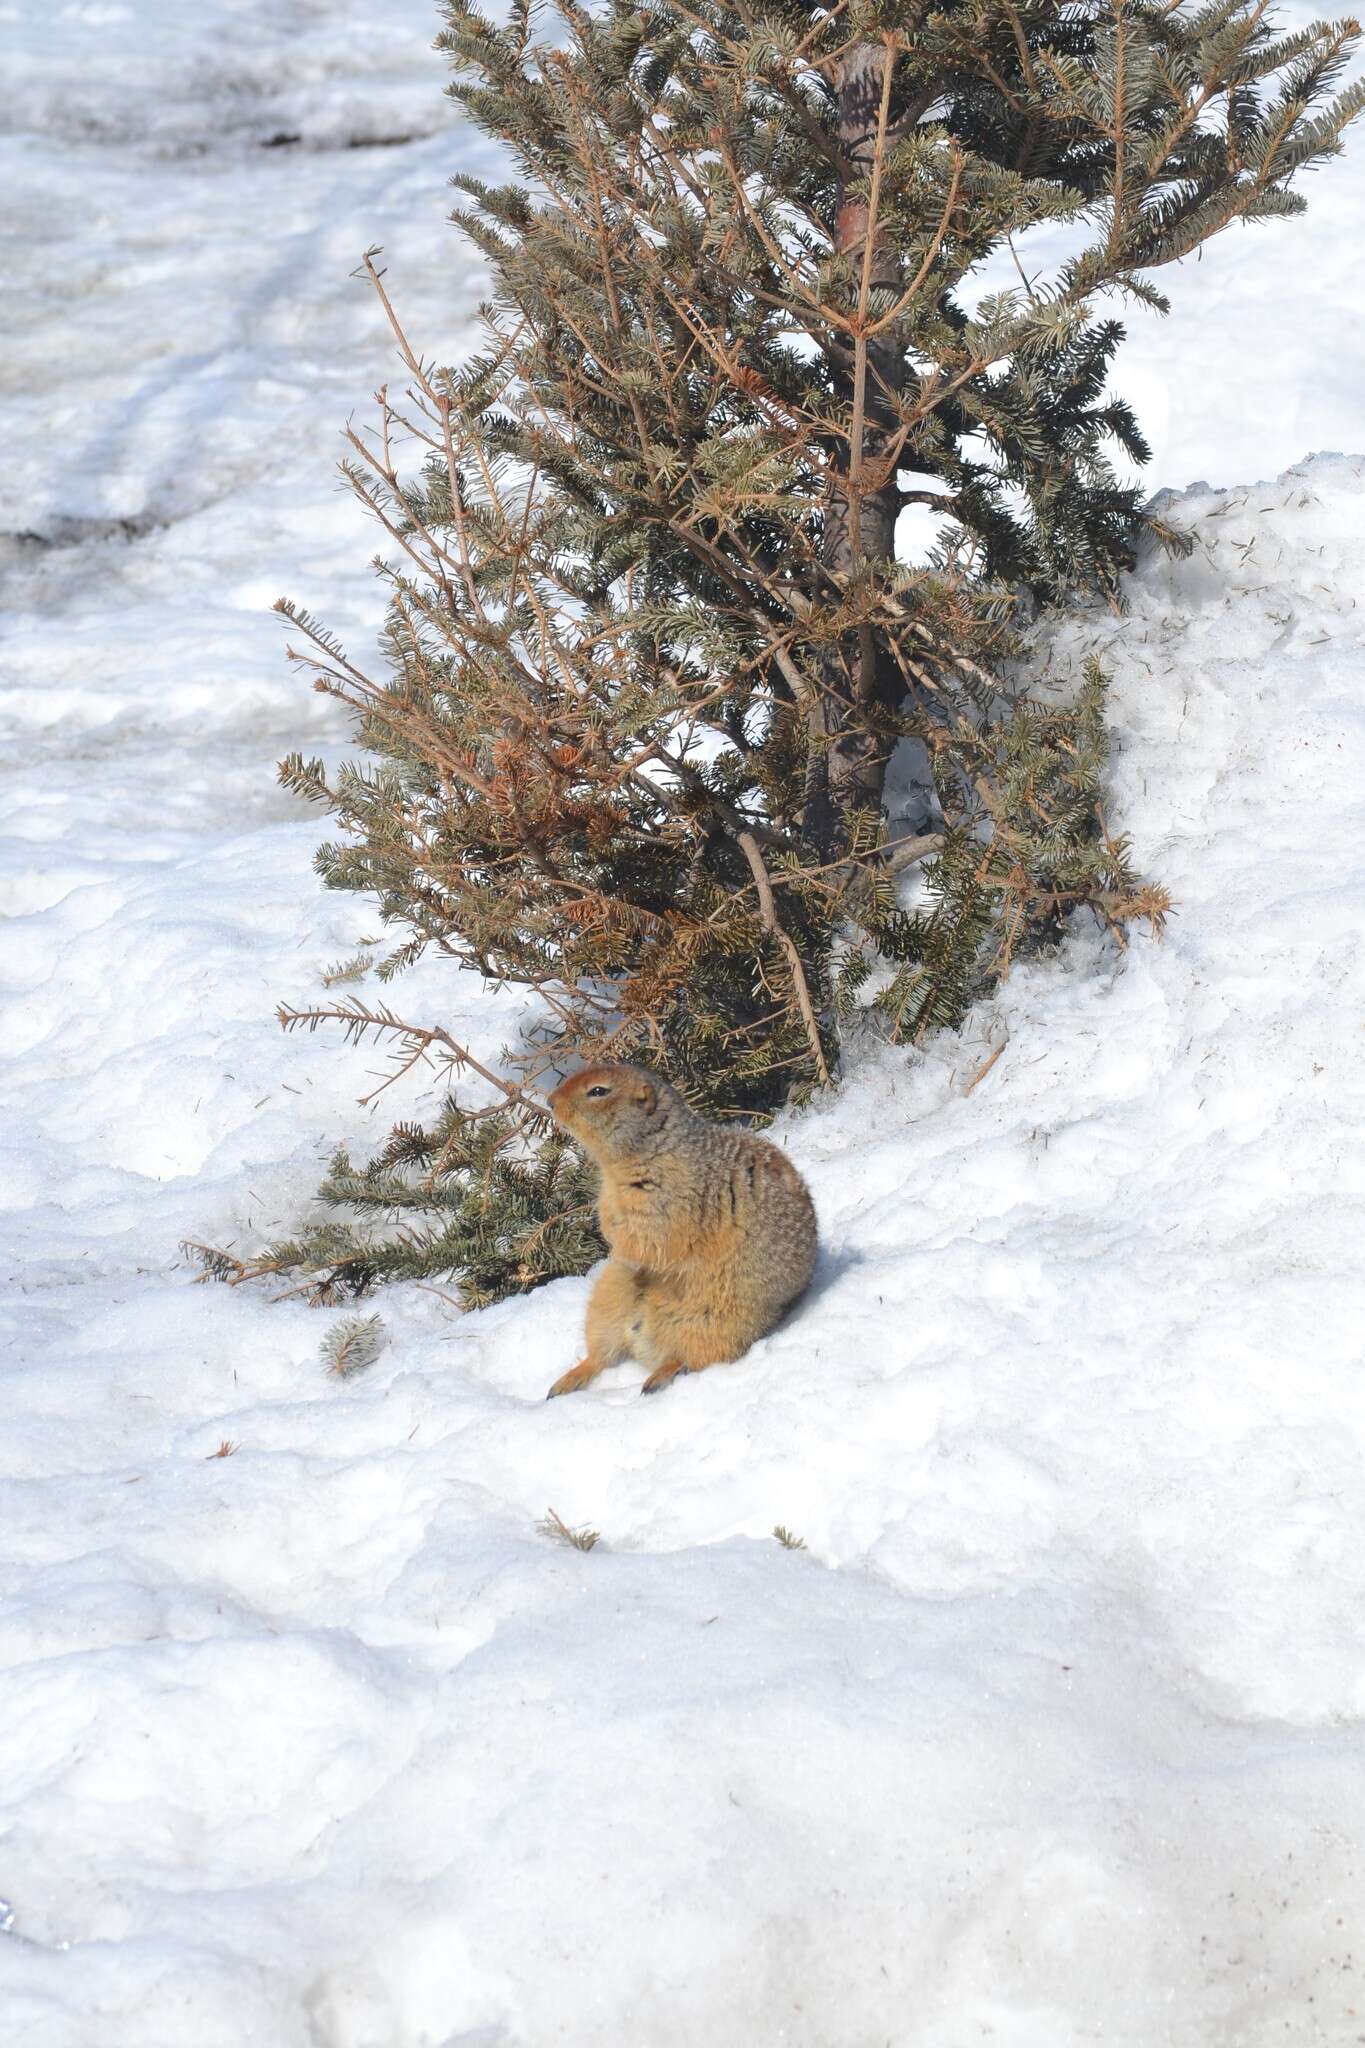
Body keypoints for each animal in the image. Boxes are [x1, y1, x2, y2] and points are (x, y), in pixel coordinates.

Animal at [548, 1064, 822, 1400]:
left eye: (598, 1091)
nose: (549, 1101)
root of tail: (639, 1335)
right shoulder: (611, 1194)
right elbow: (610, 1215)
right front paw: (608, 1227)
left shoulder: (671, 1199)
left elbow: (651, 1238)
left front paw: (619, 1244)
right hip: (605, 1302)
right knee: (601, 1355)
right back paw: (565, 1382)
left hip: (713, 1325)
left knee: (686, 1356)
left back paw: (658, 1377)